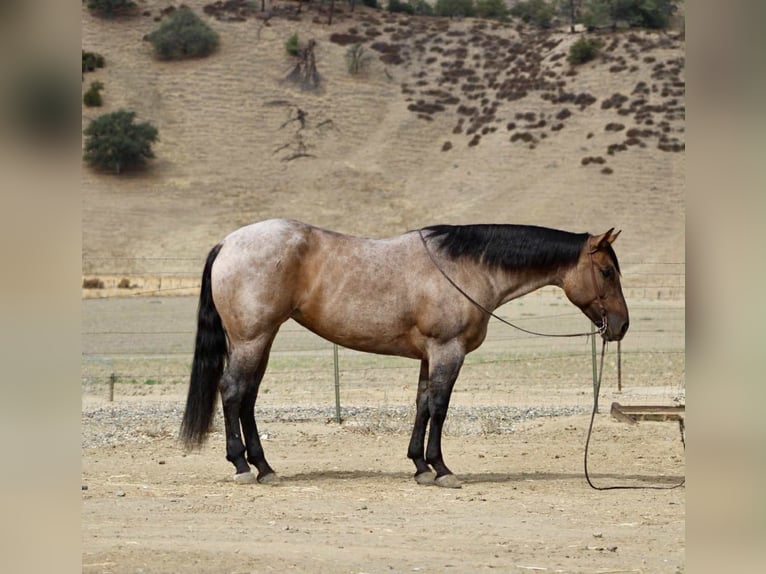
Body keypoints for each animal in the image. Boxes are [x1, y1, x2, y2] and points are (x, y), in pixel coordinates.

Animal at [181, 218, 629, 488]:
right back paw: (242, 466)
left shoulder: (430, 356)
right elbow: (440, 408)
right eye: (607, 271)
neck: (466, 267)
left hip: (262, 340)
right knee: (233, 392)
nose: (622, 326)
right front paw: (442, 469)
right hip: (252, 339)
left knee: (248, 398)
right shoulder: (448, 351)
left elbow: (422, 405)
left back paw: (264, 467)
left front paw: (420, 466)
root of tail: (227, 243)